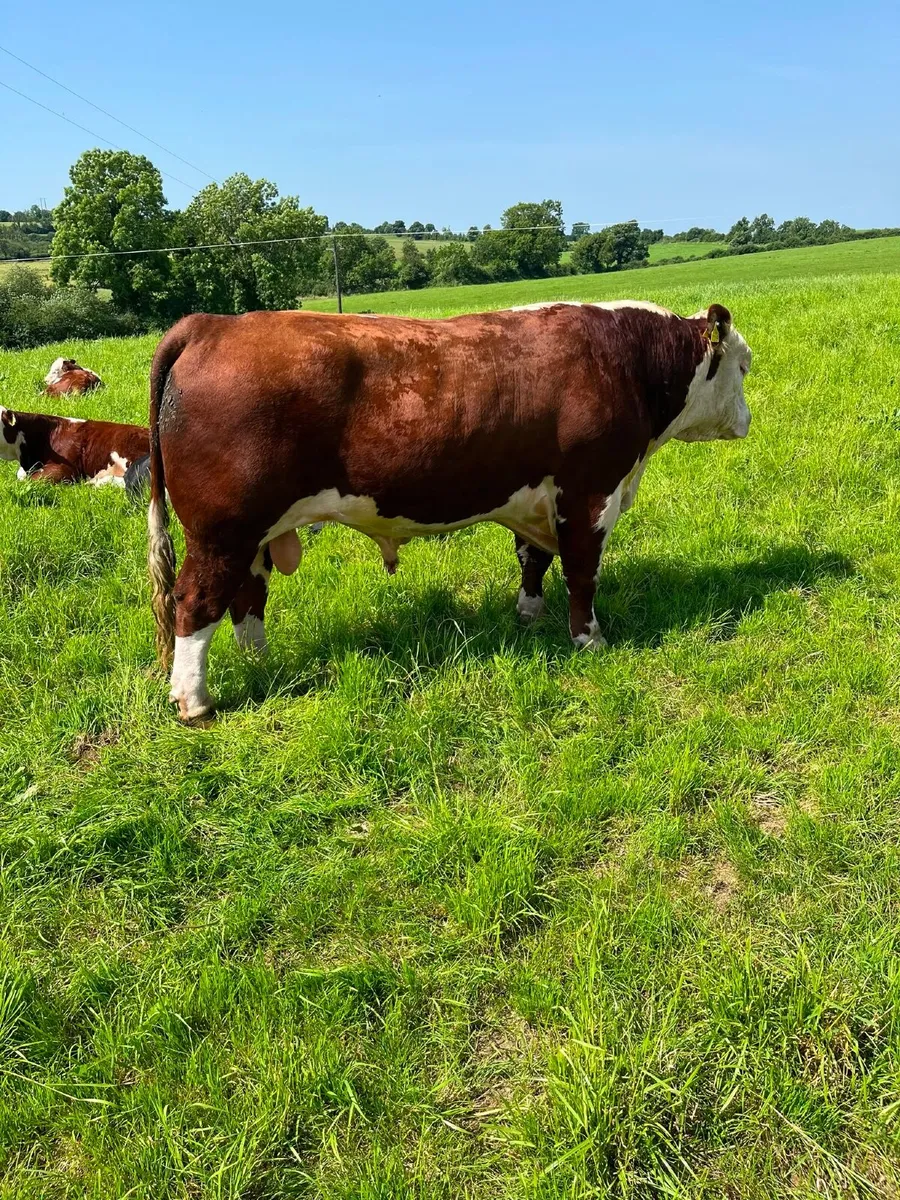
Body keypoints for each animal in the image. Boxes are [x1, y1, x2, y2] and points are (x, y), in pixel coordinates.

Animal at [146, 301, 752, 721]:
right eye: (744, 367)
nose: (747, 420)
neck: (625, 360)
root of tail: (212, 324)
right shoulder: (589, 493)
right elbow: (582, 572)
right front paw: (590, 640)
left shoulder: (536, 498)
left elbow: (533, 559)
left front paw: (529, 614)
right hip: (222, 531)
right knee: (196, 602)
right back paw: (195, 701)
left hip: (253, 535)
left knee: (247, 598)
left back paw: (260, 663)